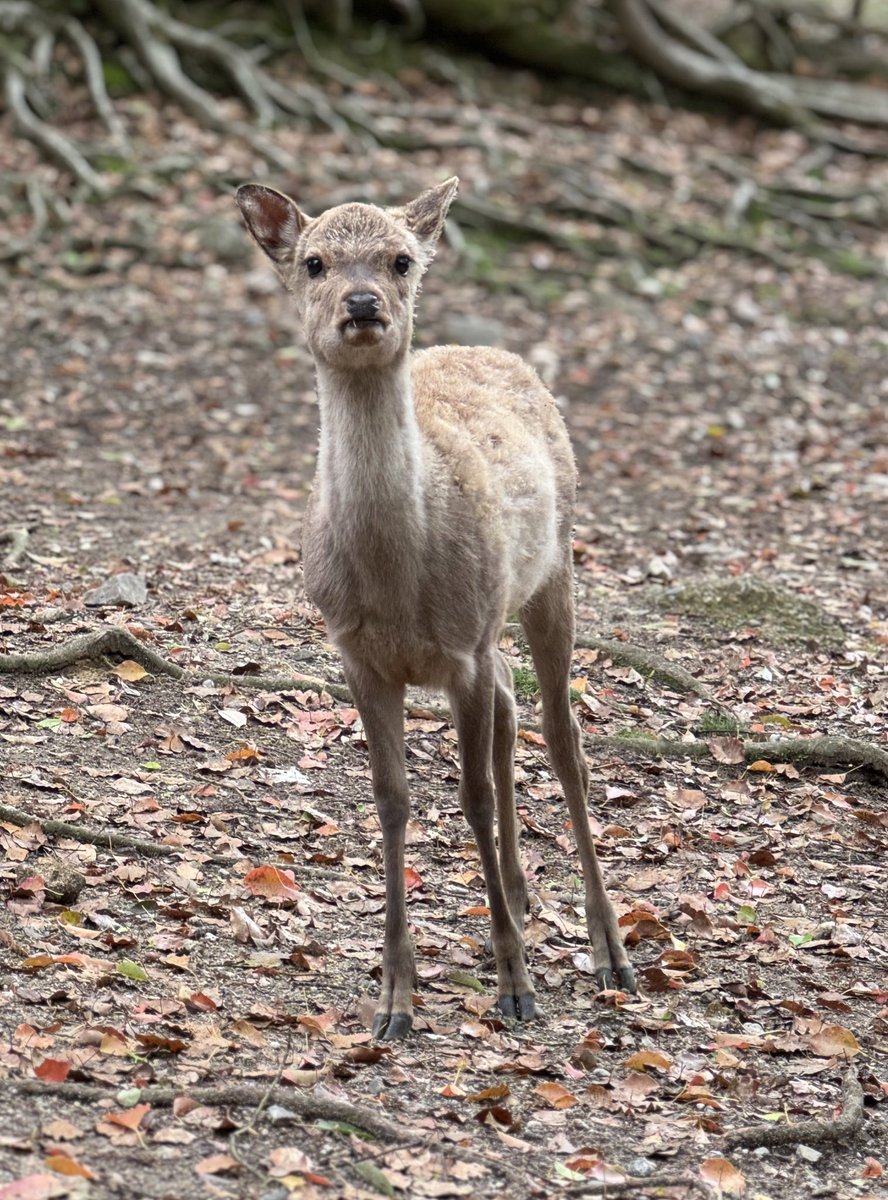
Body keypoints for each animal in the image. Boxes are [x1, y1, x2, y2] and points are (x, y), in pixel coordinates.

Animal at [234, 177, 638, 1041]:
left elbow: (473, 797)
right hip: (497, 618)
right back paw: (520, 894)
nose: (362, 304)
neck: (395, 581)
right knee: (515, 706)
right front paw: (395, 997)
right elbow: (391, 800)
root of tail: (497, 352)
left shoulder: (462, 651)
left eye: (400, 259)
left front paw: (517, 987)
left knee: (565, 741)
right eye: (312, 262)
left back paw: (610, 951)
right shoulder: (358, 654)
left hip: (554, 570)